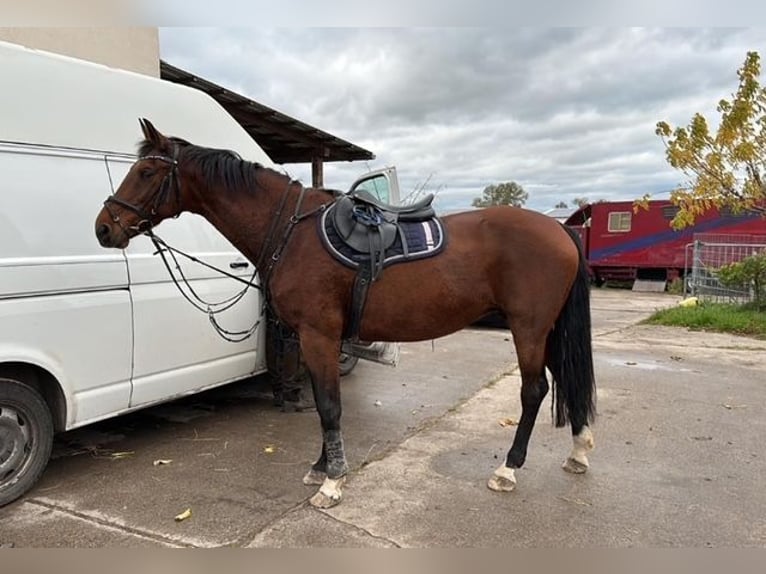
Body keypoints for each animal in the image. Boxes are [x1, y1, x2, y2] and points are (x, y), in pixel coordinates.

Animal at [96, 119, 596, 510]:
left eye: (144, 171)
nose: (103, 228)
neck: (291, 231)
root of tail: (560, 231)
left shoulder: (317, 334)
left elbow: (330, 406)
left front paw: (333, 482)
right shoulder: (320, 338)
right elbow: (323, 401)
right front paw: (322, 467)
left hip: (528, 328)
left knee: (534, 391)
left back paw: (508, 469)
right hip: (546, 329)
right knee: (566, 378)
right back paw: (579, 452)